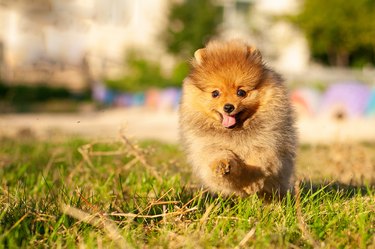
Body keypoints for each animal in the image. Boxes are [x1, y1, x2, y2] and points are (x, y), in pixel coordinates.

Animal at [181, 40, 298, 197]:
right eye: (215, 93)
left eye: (241, 92)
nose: (228, 107)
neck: (235, 132)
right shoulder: (208, 147)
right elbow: (218, 156)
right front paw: (222, 165)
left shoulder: (267, 146)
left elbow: (257, 163)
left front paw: (252, 184)